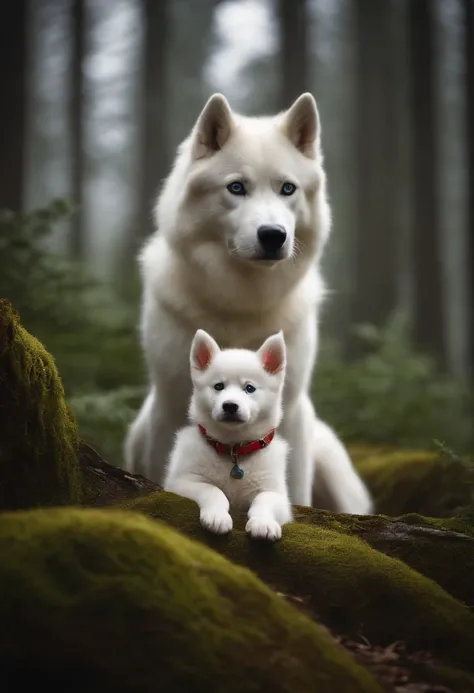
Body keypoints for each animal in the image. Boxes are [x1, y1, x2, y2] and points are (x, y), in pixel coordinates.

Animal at [125, 92, 374, 512]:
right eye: (237, 187)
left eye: (287, 189)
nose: (273, 235)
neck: (241, 303)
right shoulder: (170, 405)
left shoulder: (292, 413)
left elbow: (293, 489)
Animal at [165, 328, 294, 540]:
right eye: (219, 386)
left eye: (249, 388)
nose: (230, 406)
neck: (234, 450)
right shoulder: (181, 481)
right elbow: (212, 489)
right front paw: (217, 517)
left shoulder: (277, 494)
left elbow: (264, 499)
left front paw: (263, 523)